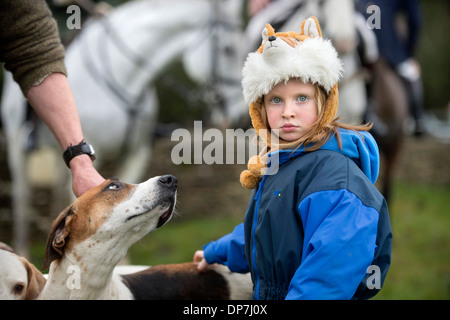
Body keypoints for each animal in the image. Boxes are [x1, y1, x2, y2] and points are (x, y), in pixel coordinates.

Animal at [0, 0, 246, 256]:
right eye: (228, 49)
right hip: (17, 144)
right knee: (21, 197)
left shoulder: (136, 154)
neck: (125, 76)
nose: (241, 118)